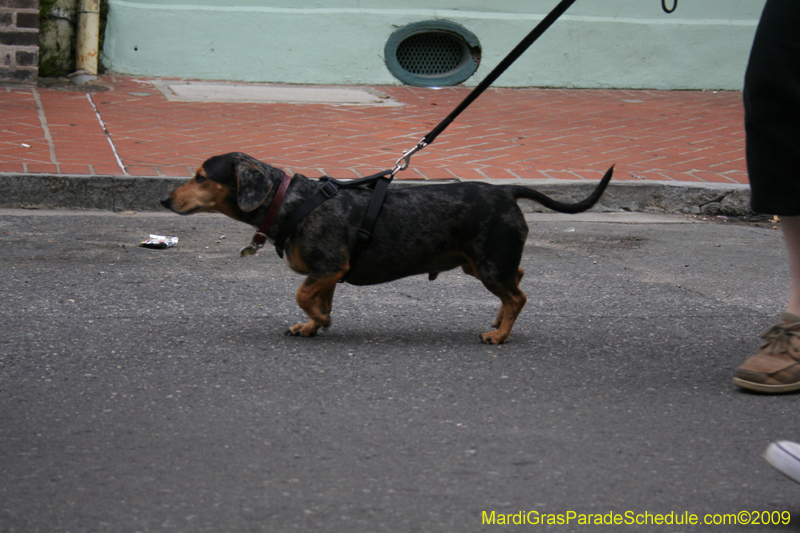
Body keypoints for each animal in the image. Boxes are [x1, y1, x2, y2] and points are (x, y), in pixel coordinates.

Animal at [162, 152, 612, 342]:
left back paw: (500, 334)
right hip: (483, 263)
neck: (291, 201)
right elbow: (317, 299)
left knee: (518, 296)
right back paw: (499, 320)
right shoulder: (328, 272)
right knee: (516, 279)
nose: (165, 200)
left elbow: (303, 295)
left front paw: (319, 321)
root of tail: (506, 191)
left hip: (488, 264)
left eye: (201, 176)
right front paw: (311, 326)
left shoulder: (328, 267)